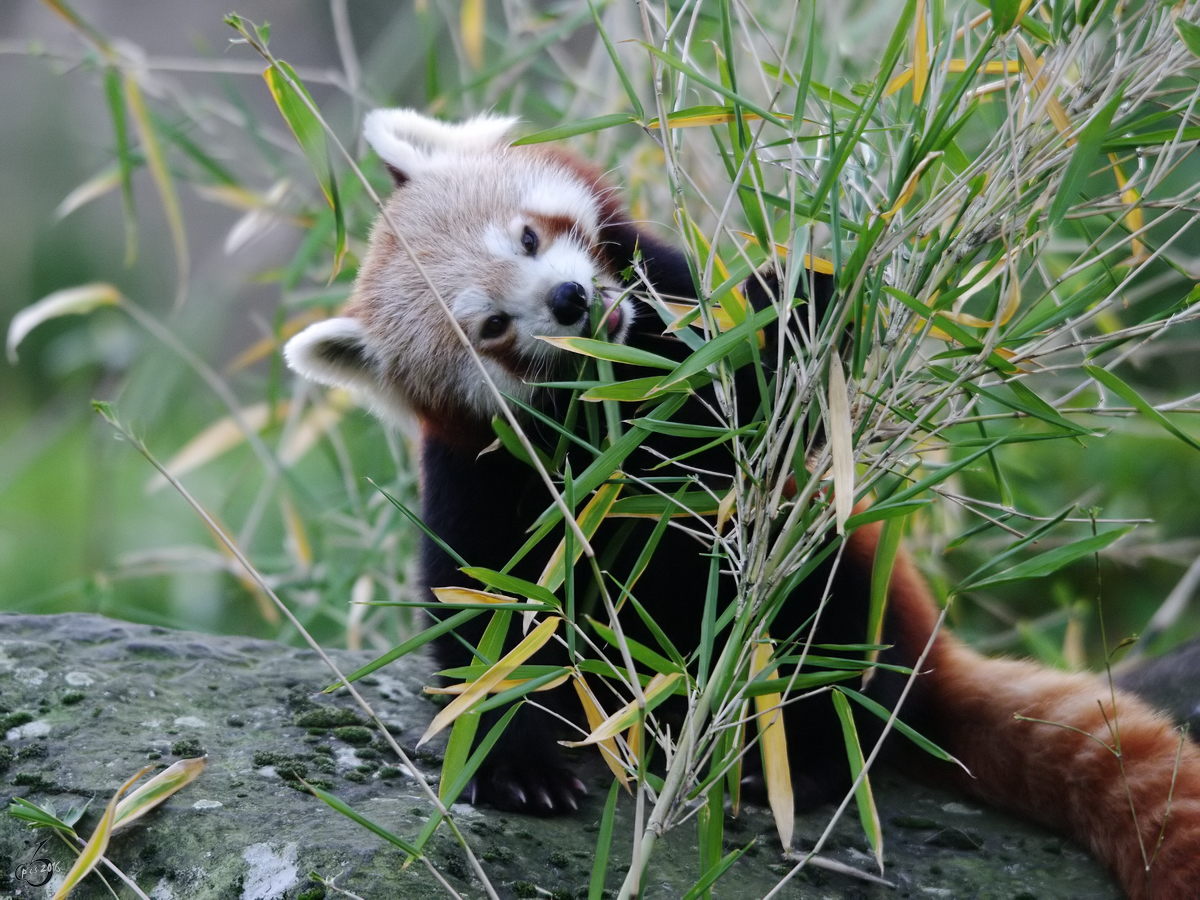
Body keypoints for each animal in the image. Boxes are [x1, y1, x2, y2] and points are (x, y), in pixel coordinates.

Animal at [285, 109, 1200, 897]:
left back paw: (795, 755)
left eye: (529, 236)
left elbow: (773, 387)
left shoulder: (688, 336)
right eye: (492, 329)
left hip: (841, 578)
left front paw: (811, 285)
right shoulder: (483, 478)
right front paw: (514, 767)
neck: (619, 390)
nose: (570, 302)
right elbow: (489, 615)